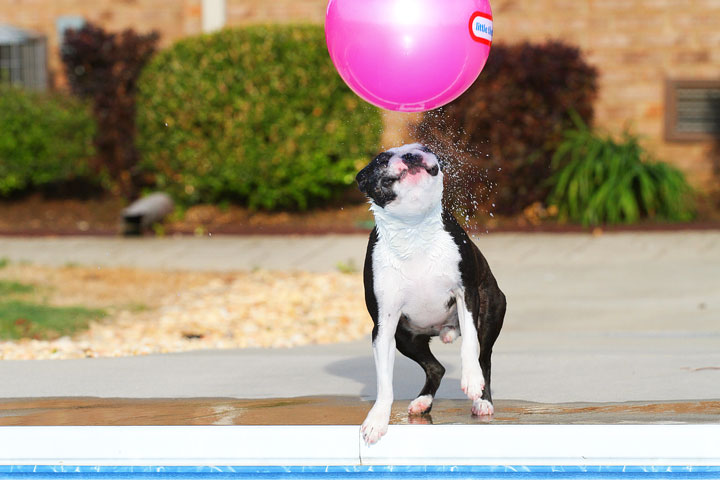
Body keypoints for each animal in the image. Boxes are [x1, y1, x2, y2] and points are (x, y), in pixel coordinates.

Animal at [356, 143, 506, 446]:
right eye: (382, 160)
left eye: (423, 148)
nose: (411, 154)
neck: (414, 228)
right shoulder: (385, 325)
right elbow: (384, 381)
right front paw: (377, 419)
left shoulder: (466, 294)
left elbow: (469, 343)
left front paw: (471, 380)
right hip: (405, 337)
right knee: (436, 368)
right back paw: (422, 402)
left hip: (492, 310)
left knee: (484, 358)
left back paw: (482, 400)